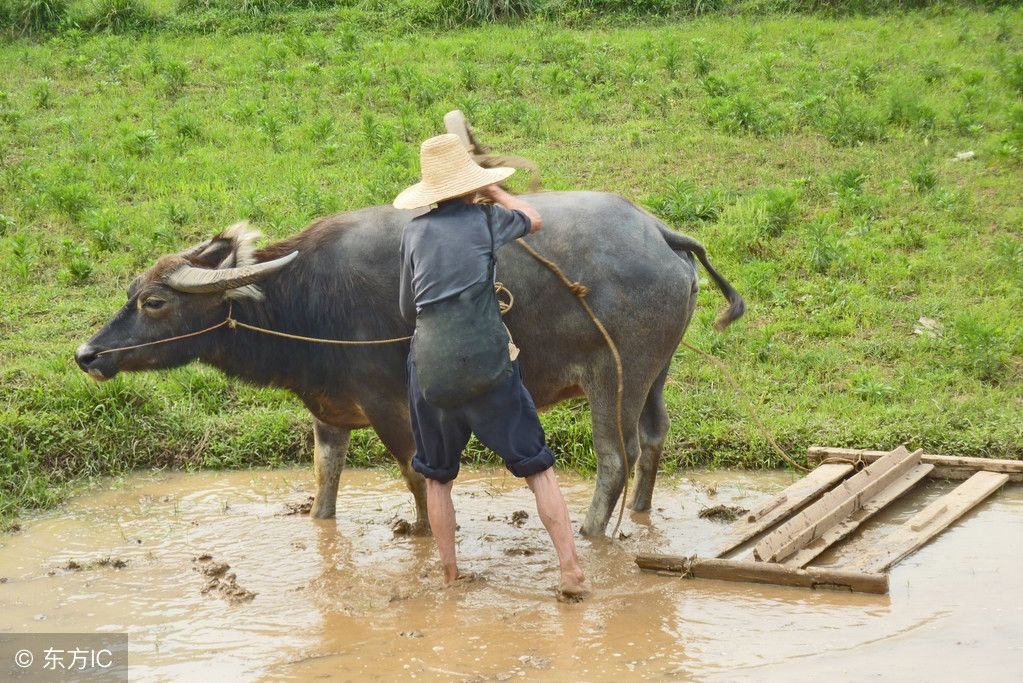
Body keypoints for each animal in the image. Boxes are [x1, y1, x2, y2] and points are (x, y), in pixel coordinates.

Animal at [74, 189, 744, 535]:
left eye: (155, 301)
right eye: (132, 291)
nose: (88, 354)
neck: (306, 297)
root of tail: (660, 232)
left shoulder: (388, 403)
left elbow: (415, 473)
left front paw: (422, 534)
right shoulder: (329, 409)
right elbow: (326, 476)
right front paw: (320, 526)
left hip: (614, 378)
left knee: (615, 456)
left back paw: (590, 532)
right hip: (657, 373)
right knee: (654, 439)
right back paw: (640, 517)